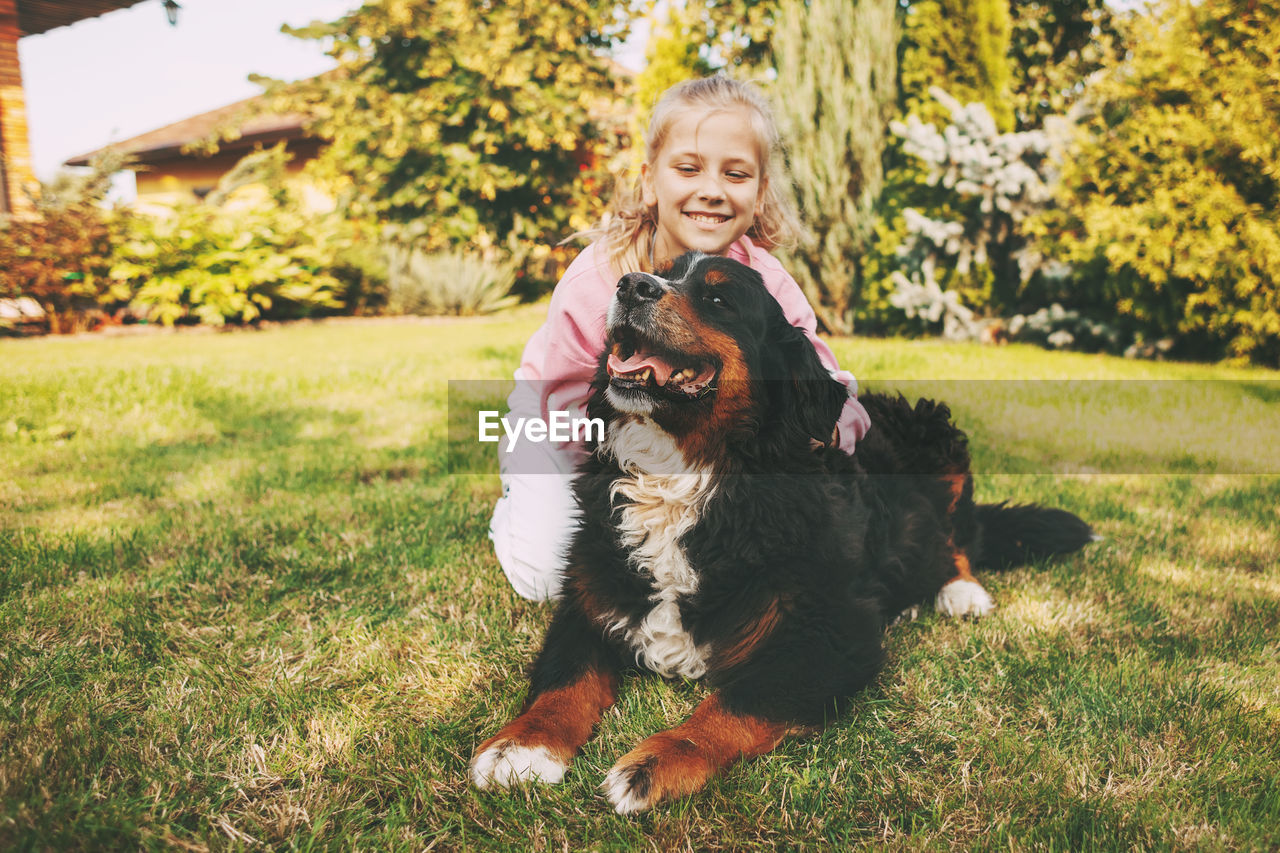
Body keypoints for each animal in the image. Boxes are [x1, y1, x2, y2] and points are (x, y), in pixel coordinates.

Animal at [476, 251, 1095, 809]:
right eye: (658, 270)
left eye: (718, 299)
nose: (632, 285)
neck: (686, 477)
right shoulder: (589, 599)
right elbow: (565, 679)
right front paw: (522, 748)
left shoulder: (833, 636)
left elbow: (736, 702)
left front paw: (655, 763)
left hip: (938, 437)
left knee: (959, 536)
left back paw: (959, 590)